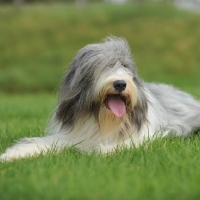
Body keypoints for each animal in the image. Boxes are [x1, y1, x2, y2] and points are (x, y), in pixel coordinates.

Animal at [0, 37, 200, 162]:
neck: (106, 121)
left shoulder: (148, 135)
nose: (120, 83)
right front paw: (13, 155)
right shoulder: (74, 134)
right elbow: (47, 143)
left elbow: (128, 143)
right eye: (102, 67)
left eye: (124, 66)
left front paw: (102, 150)